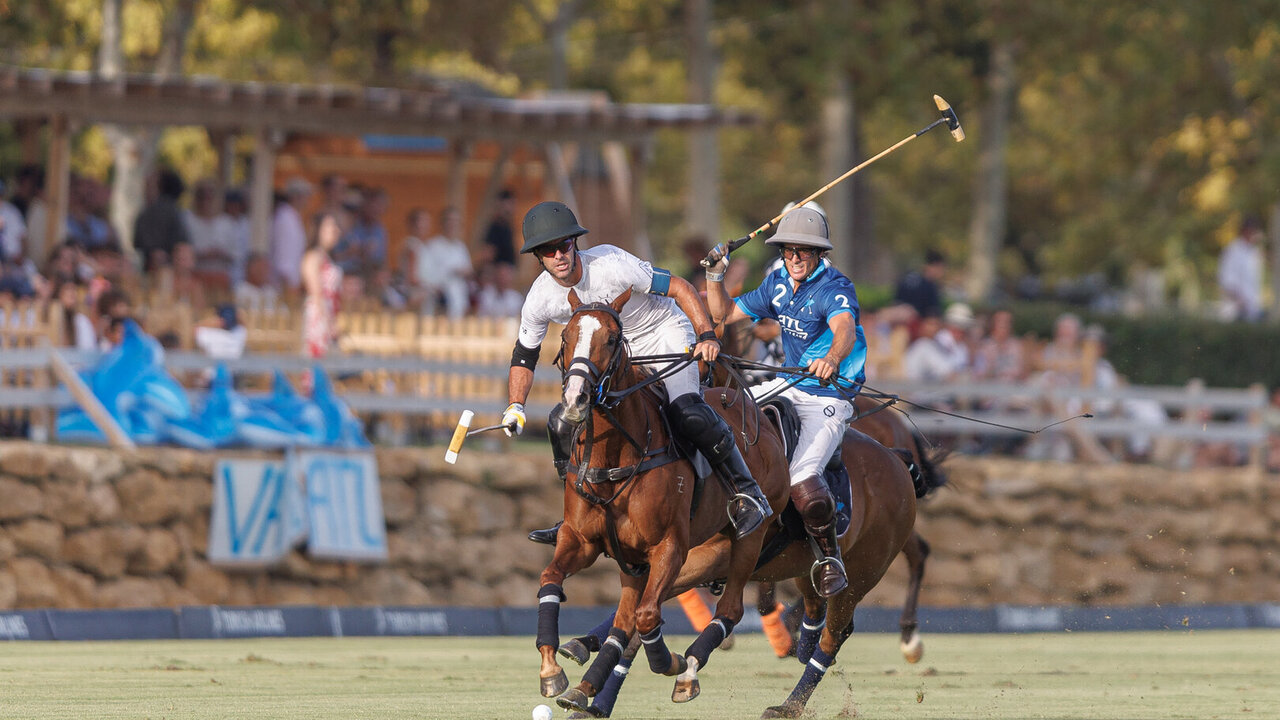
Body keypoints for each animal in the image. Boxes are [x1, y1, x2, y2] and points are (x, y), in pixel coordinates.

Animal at [535, 288, 793, 707]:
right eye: (565, 338)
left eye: (611, 339)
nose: (575, 399)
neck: (615, 454)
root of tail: (758, 413)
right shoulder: (583, 540)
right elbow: (550, 580)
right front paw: (551, 670)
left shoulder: (670, 546)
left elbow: (648, 615)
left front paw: (669, 661)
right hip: (636, 560)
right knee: (624, 616)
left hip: (748, 539)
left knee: (730, 607)